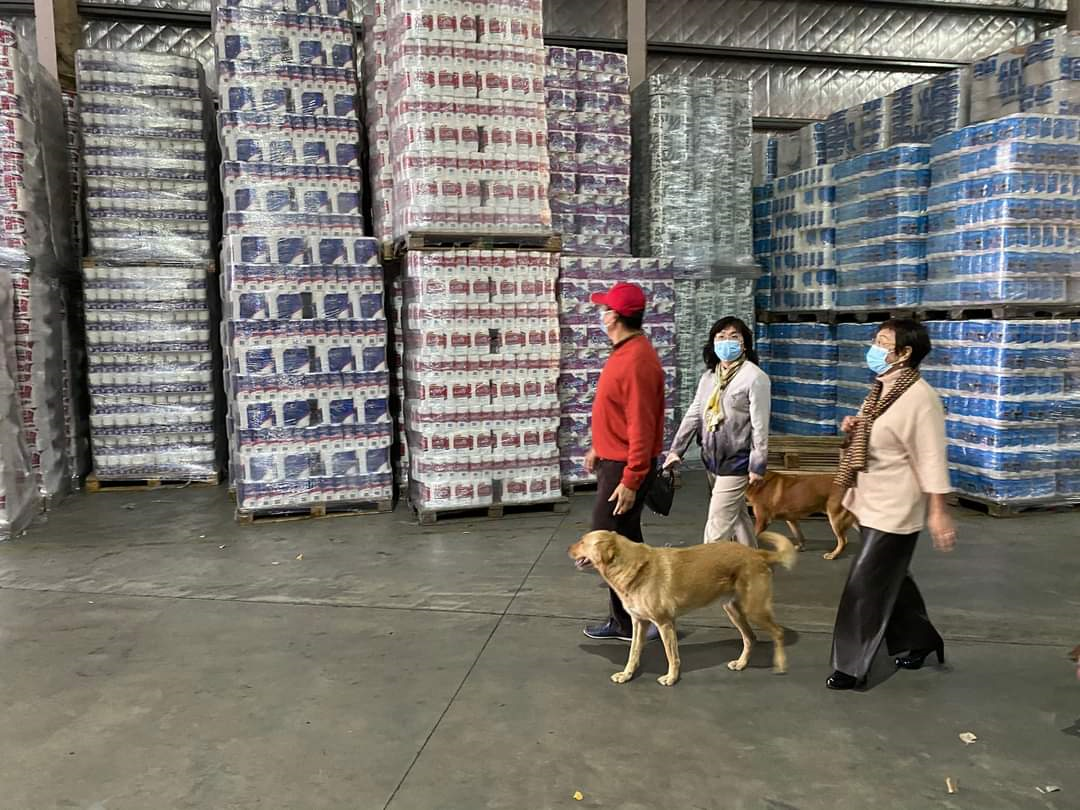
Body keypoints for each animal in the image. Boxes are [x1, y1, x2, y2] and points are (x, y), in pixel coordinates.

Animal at [568, 530, 796, 686]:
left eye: (582, 541)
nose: (567, 549)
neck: (631, 566)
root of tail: (757, 553)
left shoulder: (665, 623)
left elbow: (672, 656)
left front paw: (671, 678)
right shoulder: (639, 623)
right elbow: (633, 653)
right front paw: (626, 675)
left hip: (754, 609)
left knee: (778, 632)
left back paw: (781, 664)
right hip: (734, 610)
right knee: (751, 638)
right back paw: (741, 664)